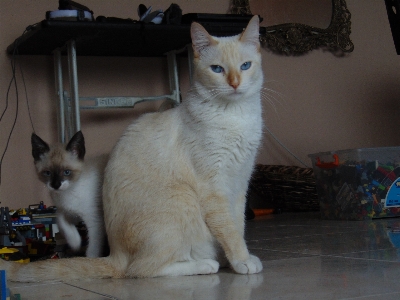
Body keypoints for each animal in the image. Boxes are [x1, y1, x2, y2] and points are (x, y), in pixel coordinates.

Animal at [3, 15, 266, 282]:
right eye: (217, 69)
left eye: (245, 66)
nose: (235, 84)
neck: (236, 116)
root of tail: (114, 254)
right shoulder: (214, 188)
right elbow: (229, 231)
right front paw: (243, 262)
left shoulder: (239, 184)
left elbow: (238, 226)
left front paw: (235, 260)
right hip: (182, 200)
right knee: (140, 270)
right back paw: (205, 264)